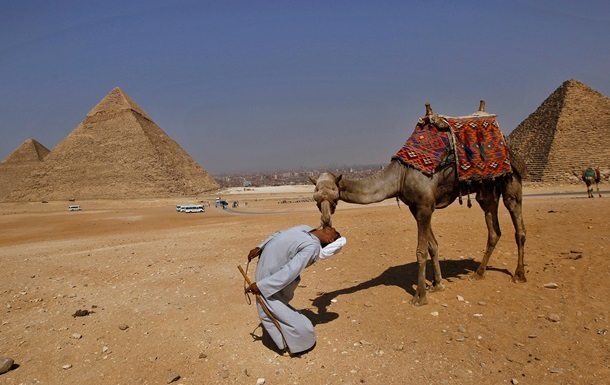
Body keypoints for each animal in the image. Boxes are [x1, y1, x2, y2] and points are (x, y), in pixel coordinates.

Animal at [312, 102, 524, 306]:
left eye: (334, 196)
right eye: (315, 198)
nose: (326, 220)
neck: (400, 175)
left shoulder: (424, 207)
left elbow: (421, 251)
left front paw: (420, 296)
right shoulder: (417, 208)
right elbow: (433, 246)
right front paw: (437, 285)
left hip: (511, 180)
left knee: (517, 223)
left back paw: (519, 275)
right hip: (487, 190)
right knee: (494, 229)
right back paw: (479, 273)